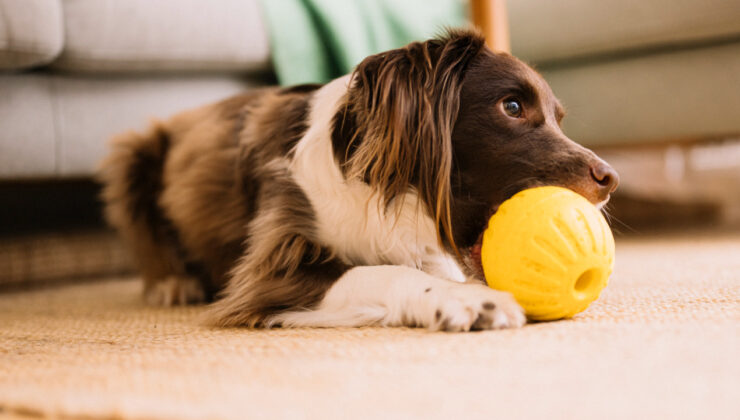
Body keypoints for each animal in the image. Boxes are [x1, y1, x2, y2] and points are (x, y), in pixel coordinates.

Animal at [98, 28, 620, 332]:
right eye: (511, 106)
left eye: (558, 118)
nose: (610, 178)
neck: (391, 195)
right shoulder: (270, 269)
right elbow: (376, 271)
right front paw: (469, 300)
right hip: (134, 152)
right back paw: (172, 282)